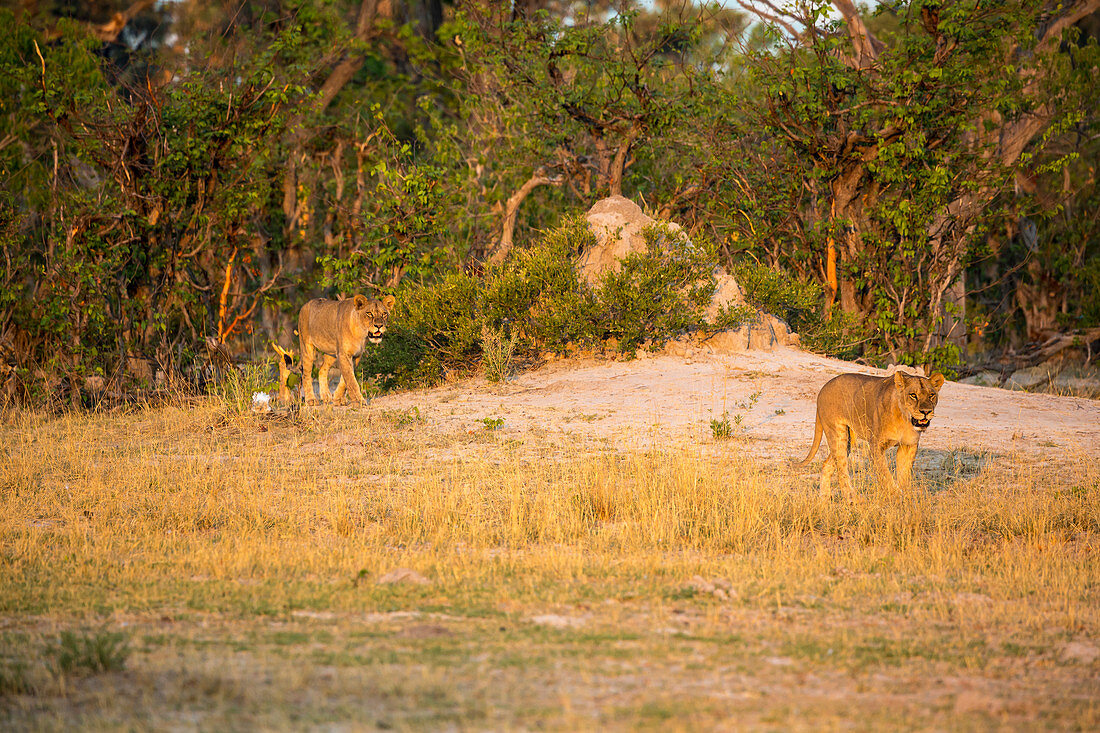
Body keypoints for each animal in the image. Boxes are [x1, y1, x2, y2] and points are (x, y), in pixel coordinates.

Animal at [796, 367, 950, 493]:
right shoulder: (876, 446)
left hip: (849, 440)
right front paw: (895, 495)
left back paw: (824, 503)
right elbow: (886, 476)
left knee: (827, 465)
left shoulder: (908, 445)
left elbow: (904, 476)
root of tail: (822, 389)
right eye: (913, 395)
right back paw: (852, 500)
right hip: (838, 434)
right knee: (842, 470)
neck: (905, 419)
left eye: (931, 395)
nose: (926, 411)